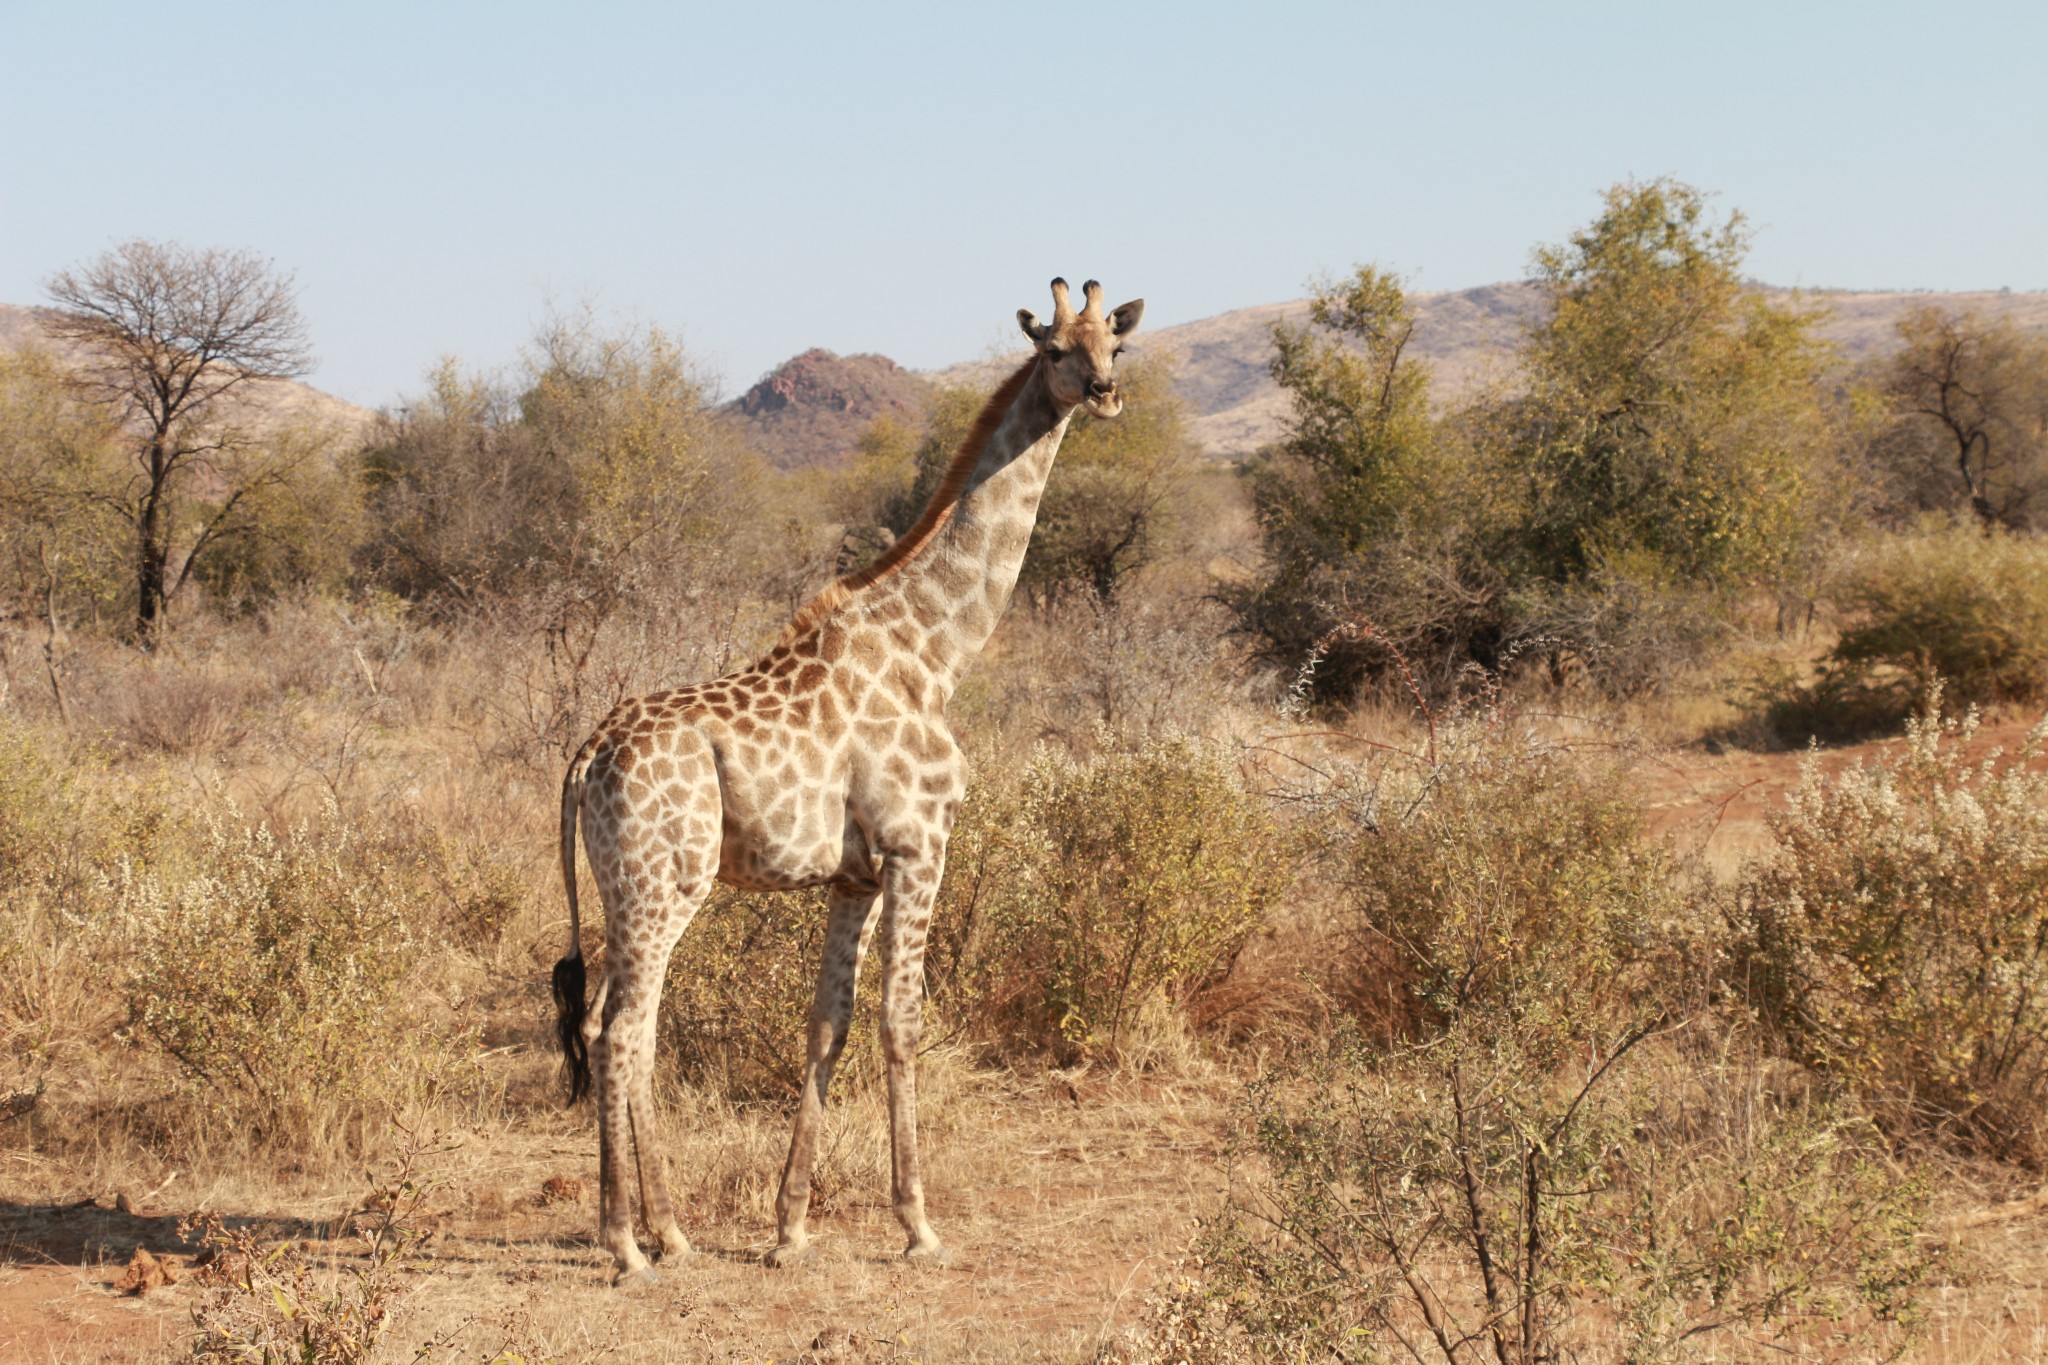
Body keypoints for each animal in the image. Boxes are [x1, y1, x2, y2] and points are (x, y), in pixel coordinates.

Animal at [552, 274, 1146, 1285]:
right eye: (1054, 349)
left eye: (1115, 340)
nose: (1103, 392)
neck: (937, 649)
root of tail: (588, 753)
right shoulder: (918, 845)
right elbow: (902, 1021)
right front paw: (918, 1223)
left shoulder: (852, 875)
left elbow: (825, 1023)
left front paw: (790, 1226)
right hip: (666, 881)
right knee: (623, 1031)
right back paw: (629, 1243)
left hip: (626, 886)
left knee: (615, 1026)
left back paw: (666, 1231)